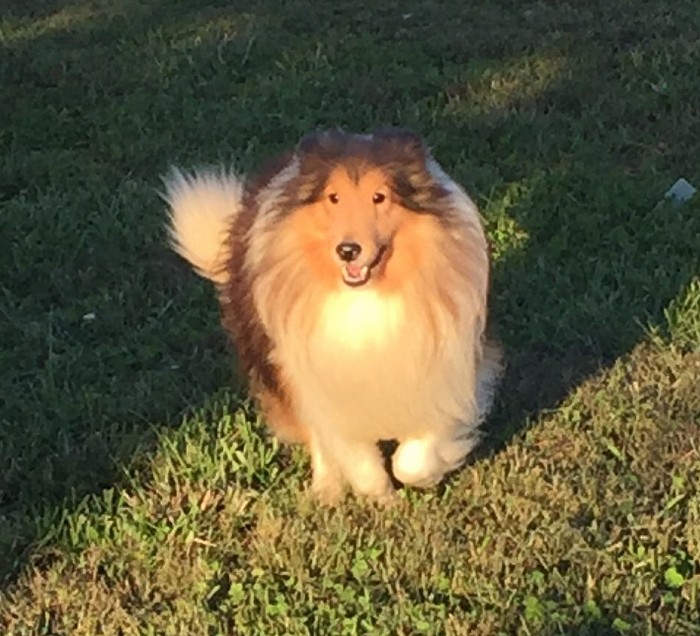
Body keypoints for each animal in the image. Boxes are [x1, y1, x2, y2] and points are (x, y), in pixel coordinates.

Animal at [164, 129, 504, 504]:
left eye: (379, 197)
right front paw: (382, 500)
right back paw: (327, 492)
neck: (367, 298)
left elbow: (415, 457)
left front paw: (424, 478)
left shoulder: (446, 370)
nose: (348, 250)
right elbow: (355, 456)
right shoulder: (321, 383)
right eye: (334, 198)